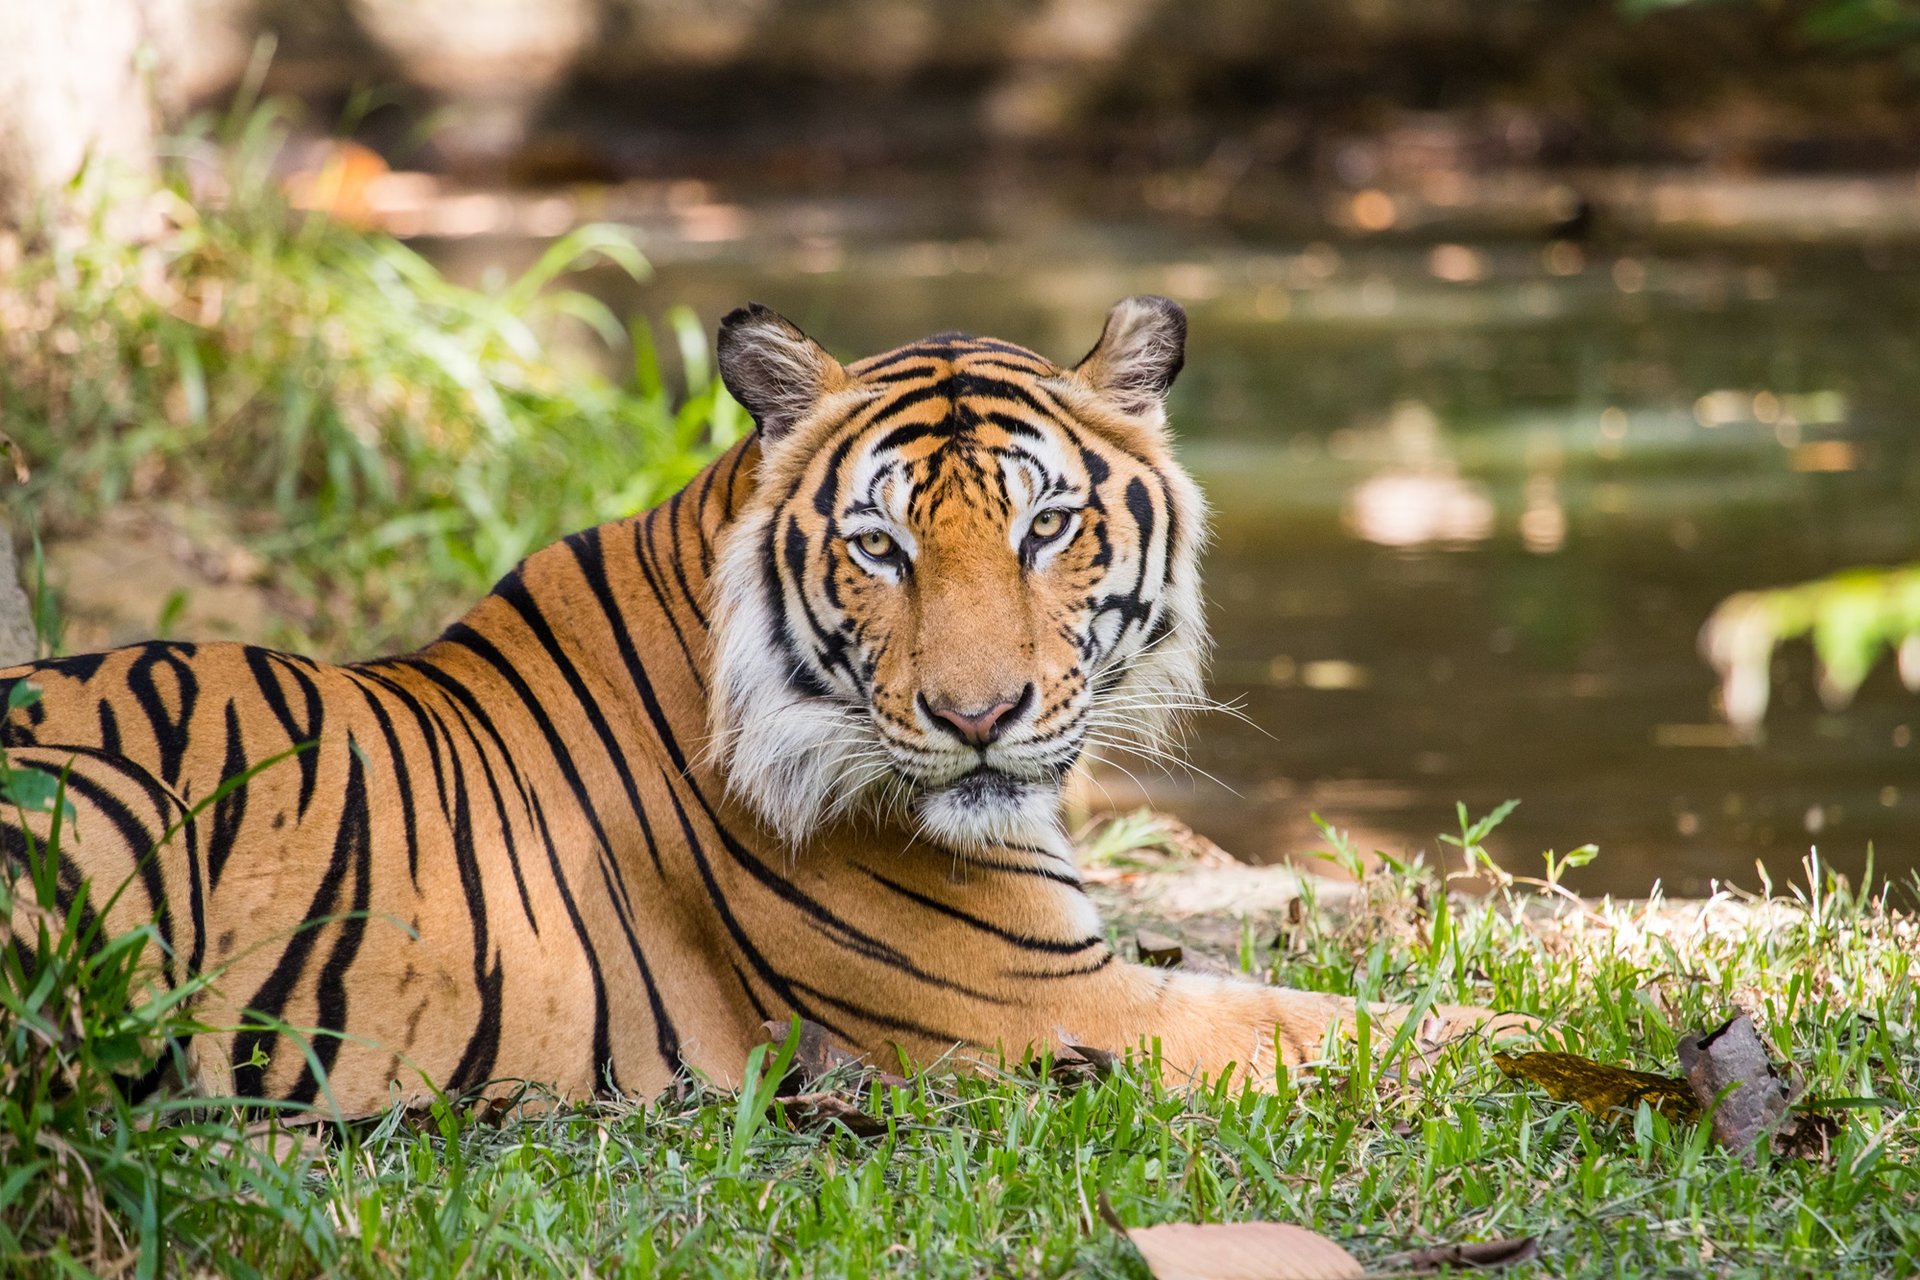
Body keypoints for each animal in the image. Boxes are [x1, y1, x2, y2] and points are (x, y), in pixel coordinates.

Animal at [0, 295, 1528, 1113]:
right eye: (881, 547)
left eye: (1046, 529)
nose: (979, 717)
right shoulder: (1041, 1003)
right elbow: (1363, 1021)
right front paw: (1559, 1035)